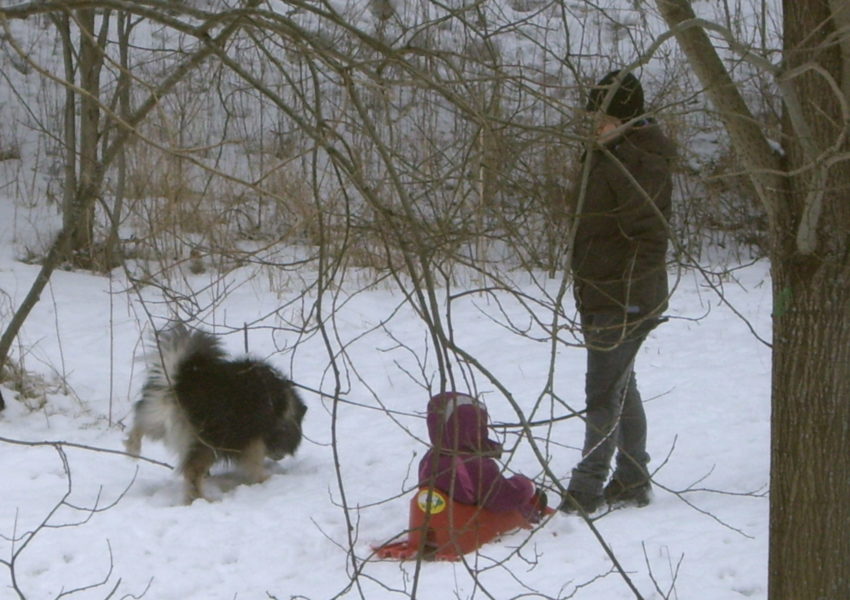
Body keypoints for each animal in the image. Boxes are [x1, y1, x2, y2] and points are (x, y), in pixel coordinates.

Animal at [127, 326, 306, 504]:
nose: (279, 456)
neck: (281, 406)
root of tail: (179, 382)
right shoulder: (253, 439)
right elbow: (254, 464)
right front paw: (264, 479)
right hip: (209, 442)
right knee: (192, 472)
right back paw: (202, 499)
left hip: (155, 417)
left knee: (139, 426)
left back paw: (132, 448)